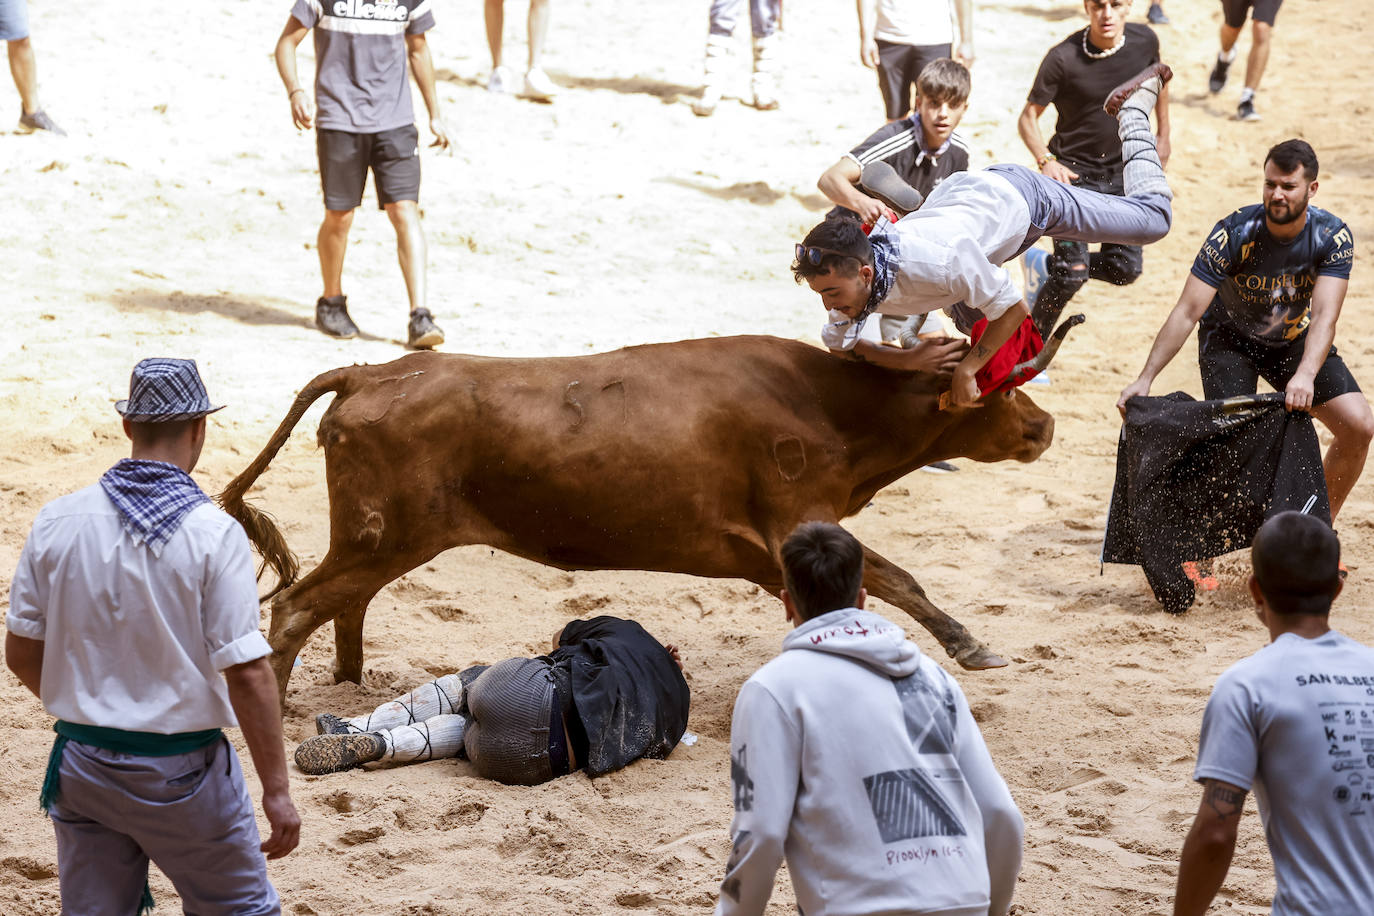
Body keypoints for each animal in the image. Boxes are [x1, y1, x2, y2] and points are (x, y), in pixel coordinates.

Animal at [222, 333, 1060, 697]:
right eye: (1000, 384)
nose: (1043, 426)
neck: (829, 403)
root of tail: (371, 370)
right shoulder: (796, 526)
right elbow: (896, 578)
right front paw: (971, 645)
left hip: (374, 540)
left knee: (343, 604)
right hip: (386, 539)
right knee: (297, 608)